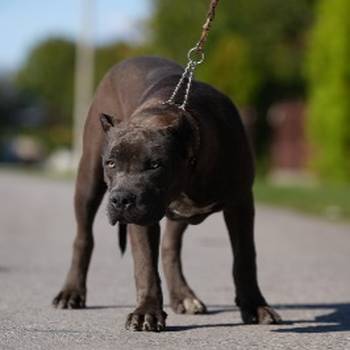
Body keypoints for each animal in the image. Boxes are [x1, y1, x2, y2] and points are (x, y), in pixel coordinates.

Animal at [52, 56, 282, 330]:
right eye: (111, 163)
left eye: (155, 164)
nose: (120, 199)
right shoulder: (142, 218)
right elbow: (145, 265)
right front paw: (147, 312)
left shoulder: (241, 203)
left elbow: (245, 257)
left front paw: (255, 307)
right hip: (88, 181)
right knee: (83, 237)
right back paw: (71, 292)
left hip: (179, 214)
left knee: (170, 246)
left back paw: (183, 296)